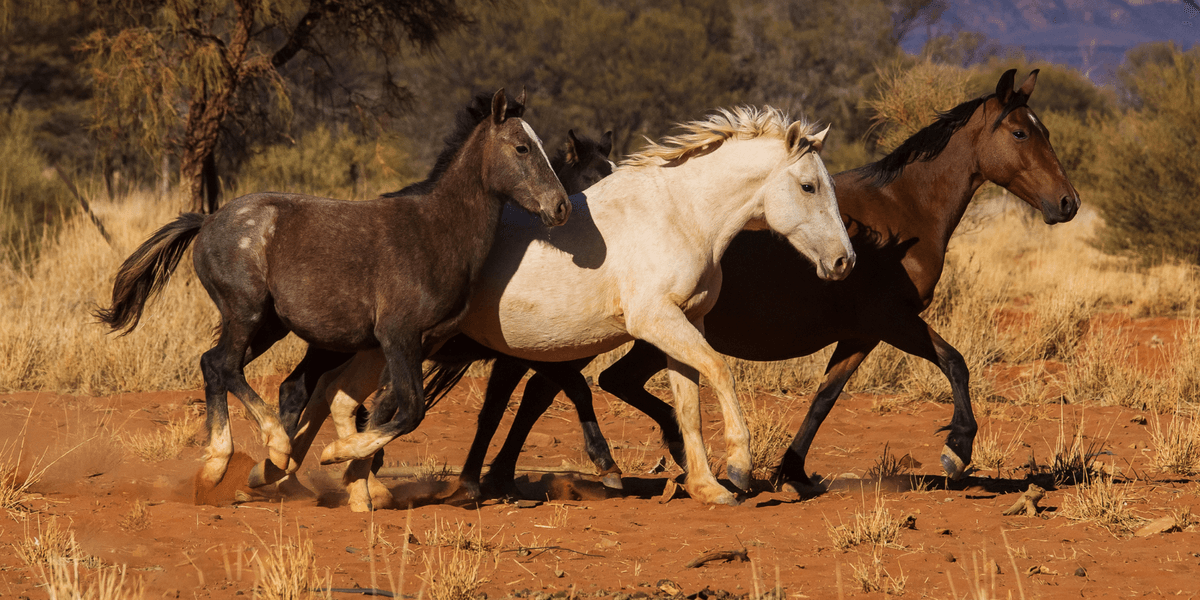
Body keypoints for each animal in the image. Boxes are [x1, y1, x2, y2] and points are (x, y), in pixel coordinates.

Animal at [94, 89, 571, 489]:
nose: (561, 206)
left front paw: (359, 476)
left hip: (269, 326)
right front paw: (338, 455)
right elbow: (410, 409)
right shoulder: (398, 335)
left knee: (214, 366)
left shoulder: (422, 342)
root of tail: (208, 220)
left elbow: (384, 407)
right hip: (245, 312)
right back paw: (272, 449)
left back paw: (226, 465)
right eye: (522, 147)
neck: (436, 231)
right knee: (224, 365)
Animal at [272, 106, 856, 509]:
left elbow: (687, 403)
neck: (681, 215)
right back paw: (297, 470)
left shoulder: (685, 322)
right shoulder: (657, 322)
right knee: (319, 393)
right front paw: (735, 468)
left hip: (387, 346)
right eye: (809, 185)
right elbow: (719, 372)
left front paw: (706, 486)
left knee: (340, 398)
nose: (844, 261)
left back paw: (340, 478)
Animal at [433, 68, 1080, 495]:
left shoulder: (860, 333)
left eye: (1044, 130)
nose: (1067, 203)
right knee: (542, 388)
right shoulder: (891, 320)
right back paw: (518, 474)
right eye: (1022, 134)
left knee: (564, 387)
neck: (903, 211)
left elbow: (824, 399)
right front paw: (956, 450)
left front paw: (789, 471)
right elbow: (955, 362)